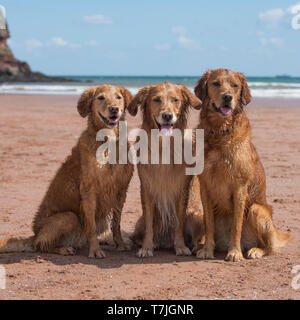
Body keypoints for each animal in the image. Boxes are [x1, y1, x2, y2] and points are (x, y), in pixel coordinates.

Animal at [0, 84, 134, 258]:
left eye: (119, 97)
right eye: (101, 98)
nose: (114, 109)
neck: (107, 142)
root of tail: (35, 234)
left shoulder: (121, 191)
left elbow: (116, 223)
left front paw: (120, 244)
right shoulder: (89, 191)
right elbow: (91, 226)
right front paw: (95, 250)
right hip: (68, 217)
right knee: (40, 245)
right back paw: (63, 248)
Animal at [127, 82, 205, 258]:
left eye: (176, 100)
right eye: (156, 99)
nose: (168, 116)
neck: (164, 144)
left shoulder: (182, 189)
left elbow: (179, 222)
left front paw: (181, 246)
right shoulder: (146, 188)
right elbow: (149, 224)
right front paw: (147, 248)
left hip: (196, 216)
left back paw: (194, 247)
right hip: (140, 221)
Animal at [195, 69, 290, 262]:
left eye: (235, 85)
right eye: (216, 83)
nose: (227, 97)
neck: (220, 132)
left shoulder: (240, 187)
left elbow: (236, 225)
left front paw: (234, 252)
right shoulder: (205, 186)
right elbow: (209, 225)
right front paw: (207, 250)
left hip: (257, 210)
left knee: (269, 246)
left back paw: (255, 250)